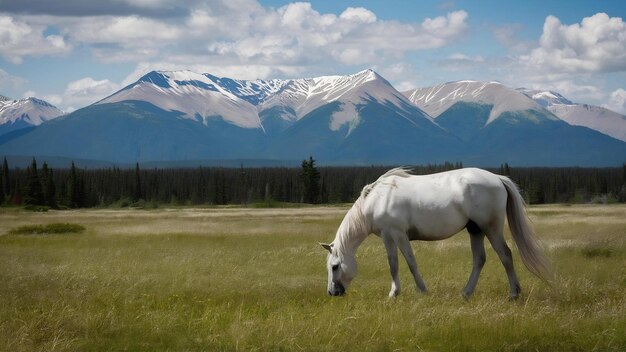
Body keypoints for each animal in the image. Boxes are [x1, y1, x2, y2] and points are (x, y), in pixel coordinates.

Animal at [322, 166, 552, 298]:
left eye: (335, 266)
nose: (332, 292)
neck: (376, 199)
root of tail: (497, 178)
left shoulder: (394, 235)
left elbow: (402, 263)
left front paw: (402, 292)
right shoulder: (393, 237)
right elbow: (401, 263)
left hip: (491, 228)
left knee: (505, 255)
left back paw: (513, 293)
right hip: (475, 230)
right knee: (479, 259)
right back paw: (466, 293)